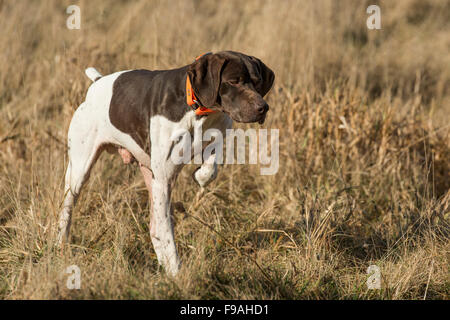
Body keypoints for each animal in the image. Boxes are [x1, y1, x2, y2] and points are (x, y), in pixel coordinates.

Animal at [57, 50, 272, 276]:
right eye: (233, 81)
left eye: (258, 82)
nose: (263, 108)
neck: (197, 110)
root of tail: (97, 82)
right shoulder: (164, 179)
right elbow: (167, 229)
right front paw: (177, 270)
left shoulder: (218, 136)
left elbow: (211, 164)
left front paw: (201, 175)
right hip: (80, 171)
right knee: (67, 210)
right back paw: (61, 245)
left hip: (148, 173)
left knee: (154, 227)